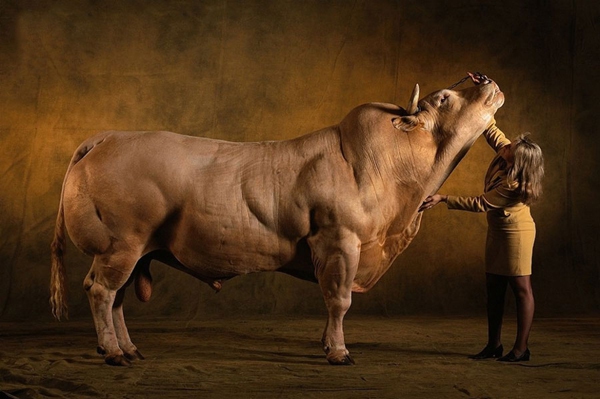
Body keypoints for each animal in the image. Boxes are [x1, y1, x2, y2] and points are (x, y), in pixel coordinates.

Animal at [49, 73, 504, 368]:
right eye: (444, 98)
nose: (486, 80)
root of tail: (108, 136)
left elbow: (333, 302)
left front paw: (326, 343)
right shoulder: (340, 241)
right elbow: (339, 300)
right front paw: (338, 352)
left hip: (136, 251)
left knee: (117, 298)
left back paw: (128, 349)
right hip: (120, 245)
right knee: (101, 292)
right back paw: (112, 352)